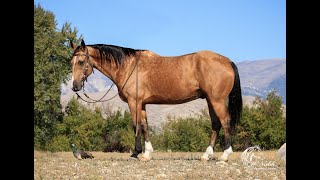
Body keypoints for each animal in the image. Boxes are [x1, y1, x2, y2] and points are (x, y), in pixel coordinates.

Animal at [69, 39, 242, 162]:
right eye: (71, 63)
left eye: (81, 62)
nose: (75, 86)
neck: (129, 66)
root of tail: (227, 61)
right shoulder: (142, 104)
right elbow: (145, 126)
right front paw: (147, 154)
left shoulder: (134, 102)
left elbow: (136, 125)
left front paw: (136, 153)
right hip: (210, 100)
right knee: (216, 124)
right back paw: (206, 155)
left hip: (217, 100)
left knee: (225, 122)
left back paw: (225, 155)